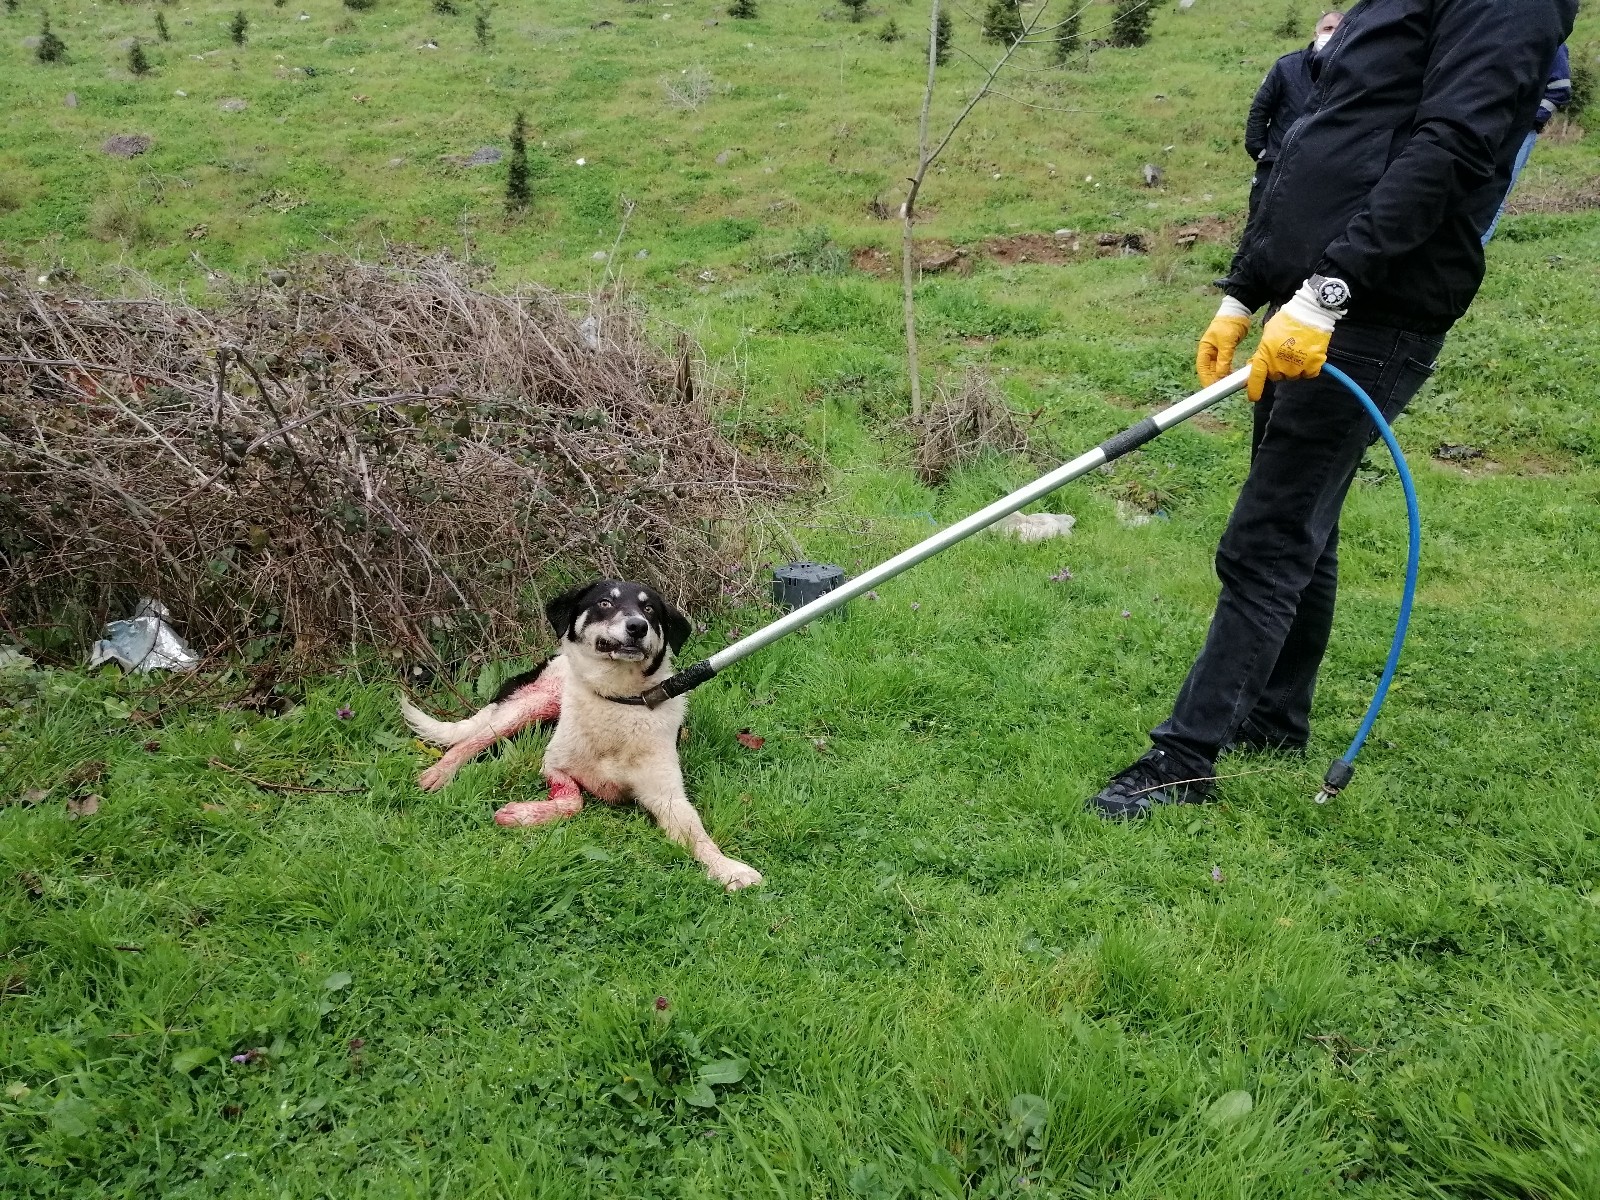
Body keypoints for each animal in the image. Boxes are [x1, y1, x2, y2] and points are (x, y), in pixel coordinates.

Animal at [392, 579, 755, 896]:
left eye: (650, 609)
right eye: (605, 602)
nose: (637, 626)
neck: (617, 700)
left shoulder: (668, 798)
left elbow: (699, 836)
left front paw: (728, 869)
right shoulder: (553, 765)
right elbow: (573, 800)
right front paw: (520, 814)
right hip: (534, 703)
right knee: (470, 741)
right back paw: (439, 773)